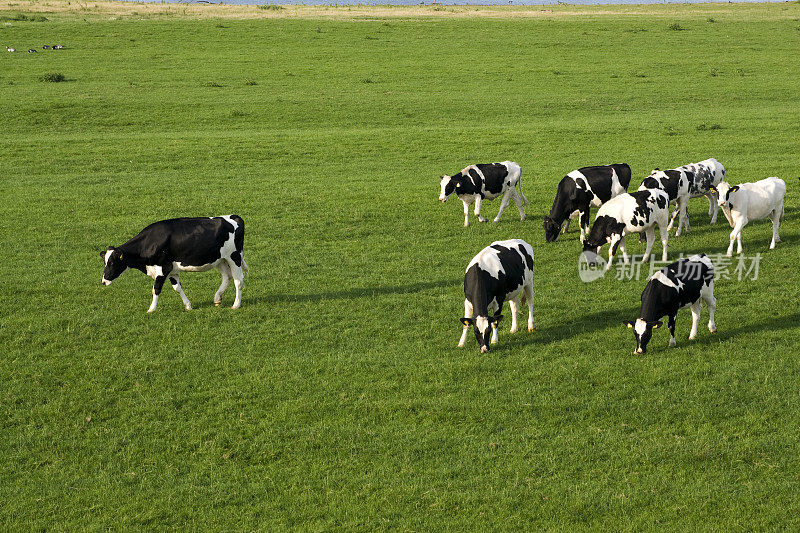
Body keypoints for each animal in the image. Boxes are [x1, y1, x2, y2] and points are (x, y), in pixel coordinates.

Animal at [101, 213, 248, 312]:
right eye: (105, 262)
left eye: (112, 263)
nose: (103, 281)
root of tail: (234, 217)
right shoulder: (170, 269)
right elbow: (177, 287)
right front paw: (188, 306)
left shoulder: (162, 269)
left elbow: (156, 289)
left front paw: (151, 309)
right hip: (220, 260)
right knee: (227, 277)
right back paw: (217, 298)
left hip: (234, 256)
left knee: (238, 280)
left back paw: (236, 305)